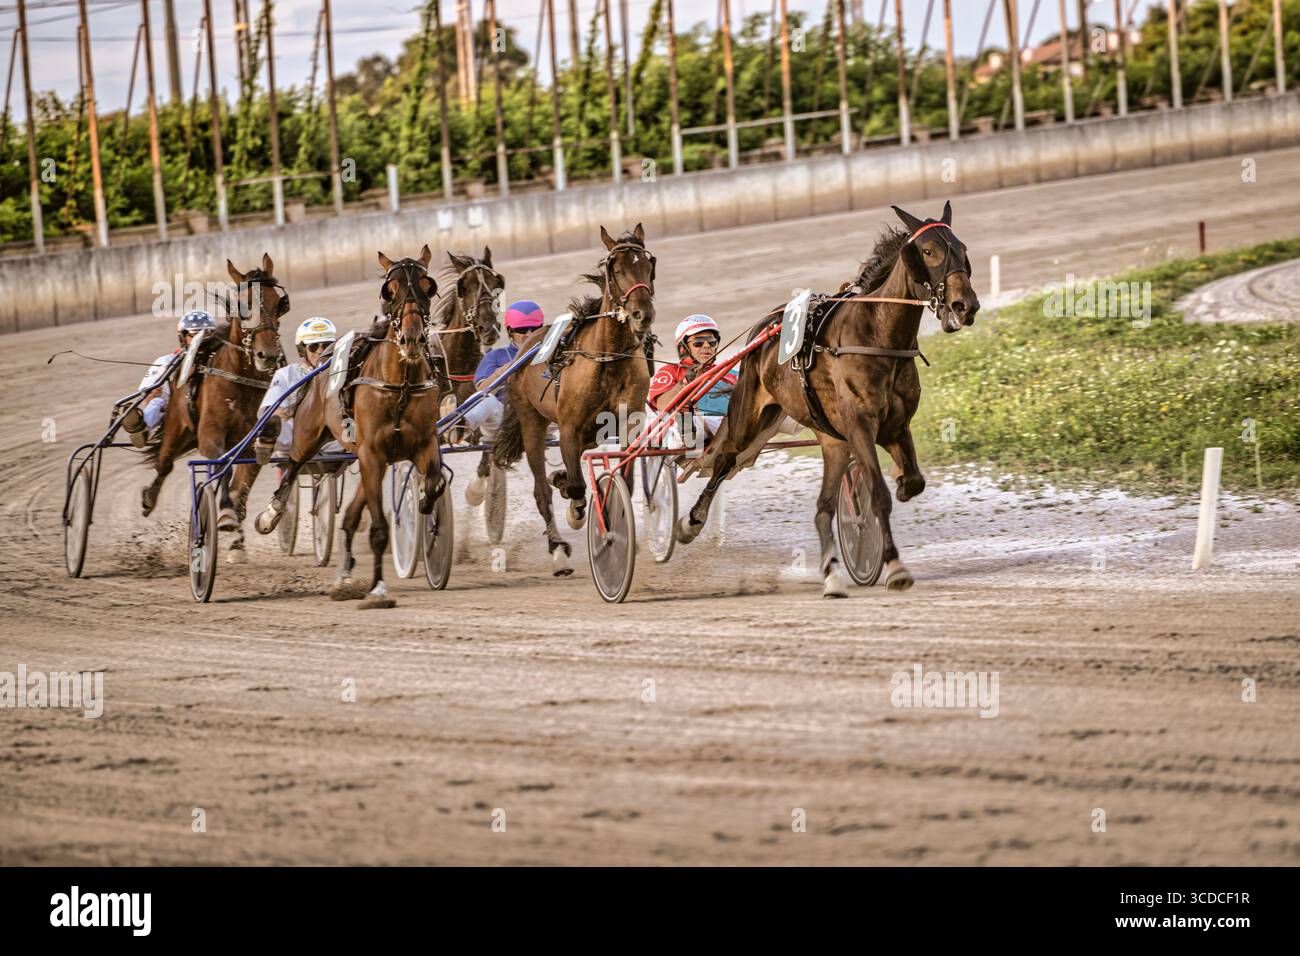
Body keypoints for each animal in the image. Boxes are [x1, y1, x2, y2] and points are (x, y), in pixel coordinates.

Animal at [143, 253, 288, 564]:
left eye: (278, 303)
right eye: (243, 304)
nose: (268, 355)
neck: (241, 379)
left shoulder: (250, 438)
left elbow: (243, 479)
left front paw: (236, 534)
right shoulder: (210, 435)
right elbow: (219, 467)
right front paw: (225, 517)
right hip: (177, 430)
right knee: (164, 463)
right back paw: (149, 498)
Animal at [254, 245, 447, 609]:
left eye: (428, 287)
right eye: (390, 290)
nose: (412, 339)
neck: (400, 386)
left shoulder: (423, 444)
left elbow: (434, 482)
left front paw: (426, 508)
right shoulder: (372, 453)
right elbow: (379, 529)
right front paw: (378, 590)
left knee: (350, 517)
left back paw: (344, 578)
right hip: (310, 435)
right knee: (292, 467)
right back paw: (270, 514)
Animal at [493, 224, 656, 575]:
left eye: (648, 268)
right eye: (617, 270)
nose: (642, 314)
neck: (607, 357)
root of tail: (525, 347)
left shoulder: (628, 423)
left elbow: (625, 478)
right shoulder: (568, 427)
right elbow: (578, 486)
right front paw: (577, 507)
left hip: (590, 433)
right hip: (532, 422)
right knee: (541, 490)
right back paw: (557, 547)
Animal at [676, 202, 980, 598]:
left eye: (962, 249)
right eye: (928, 251)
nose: (965, 305)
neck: (877, 335)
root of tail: (766, 326)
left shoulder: (896, 427)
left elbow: (913, 481)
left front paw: (900, 483)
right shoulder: (860, 425)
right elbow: (878, 494)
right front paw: (895, 567)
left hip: (829, 439)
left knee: (822, 507)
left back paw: (832, 575)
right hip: (748, 415)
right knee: (724, 459)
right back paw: (691, 522)